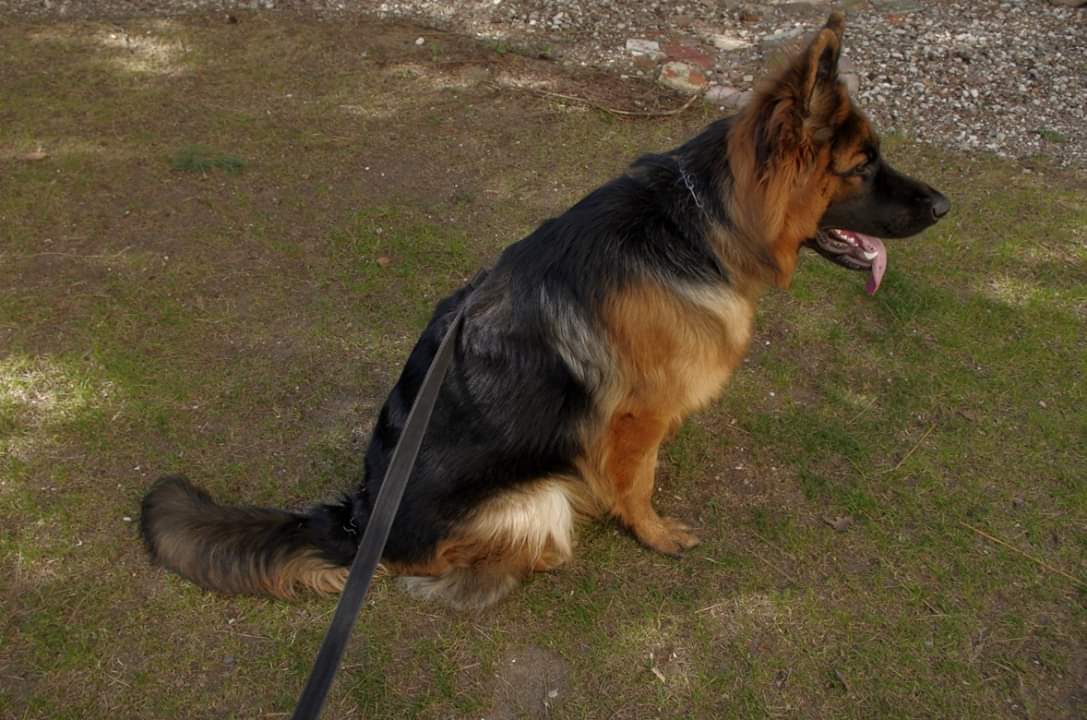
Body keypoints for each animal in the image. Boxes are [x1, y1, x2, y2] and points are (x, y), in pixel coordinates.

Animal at [141, 13, 949, 609]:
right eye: (863, 166)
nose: (945, 205)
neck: (695, 225)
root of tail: (360, 516)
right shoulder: (638, 417)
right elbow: (638, 482)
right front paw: (653, 533)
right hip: (531, 501)